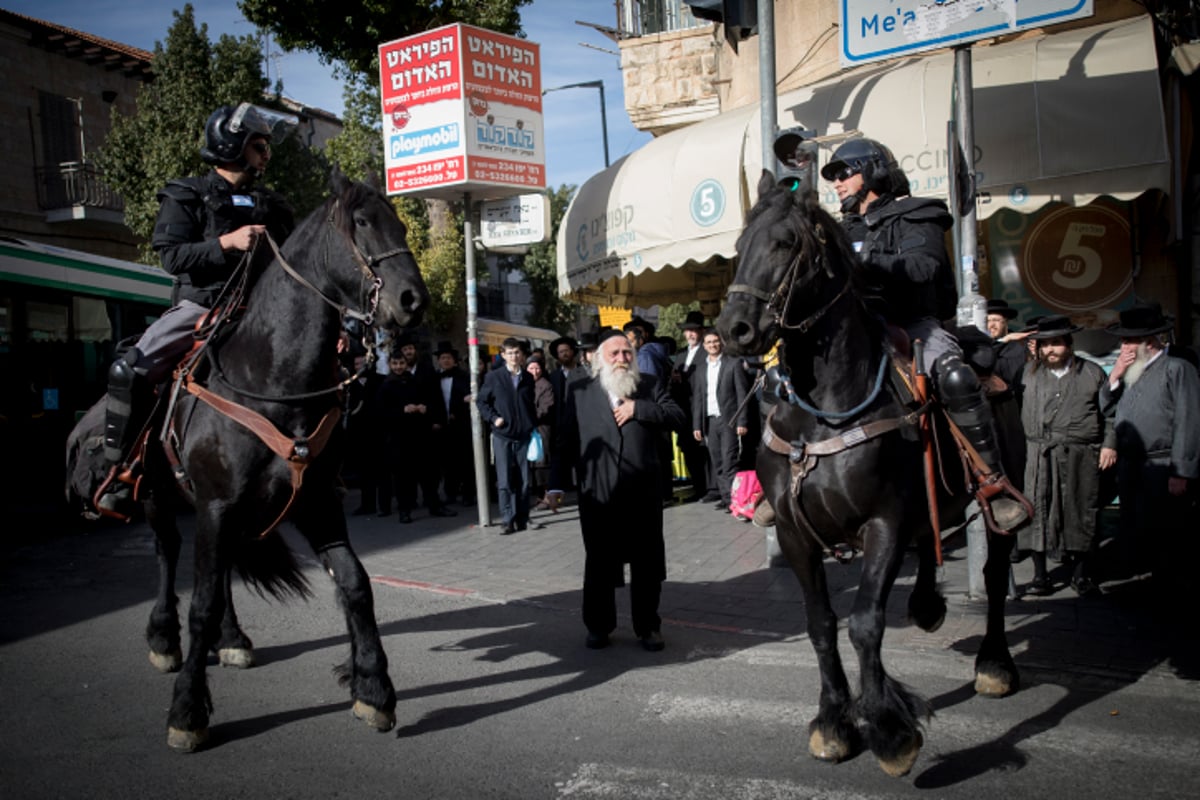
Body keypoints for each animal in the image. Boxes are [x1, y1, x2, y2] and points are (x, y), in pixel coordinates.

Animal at [65, 170, 429, 753]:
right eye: (362, 222)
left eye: (398, 221)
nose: (413, 300)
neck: (273, 379)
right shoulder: (215, 505)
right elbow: (201, 604)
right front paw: (188, 712)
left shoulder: (316, 503)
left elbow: (355, 584)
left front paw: (373, 689)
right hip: (158, 495)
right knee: (168, 555)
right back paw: (164, 638)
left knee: (223, 572)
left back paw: (232, 639)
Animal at [715, 173, 1017, 777]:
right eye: (739, 247)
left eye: (785, 243)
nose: (733, 330)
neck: (822, 408)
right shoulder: (795, 534)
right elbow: (821, 624)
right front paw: (834, 724)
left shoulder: (883, 524)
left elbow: (865, 623)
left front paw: (888, 730)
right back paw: (926, 605)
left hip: (996, 497)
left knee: (995, 574)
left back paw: (994, 665)